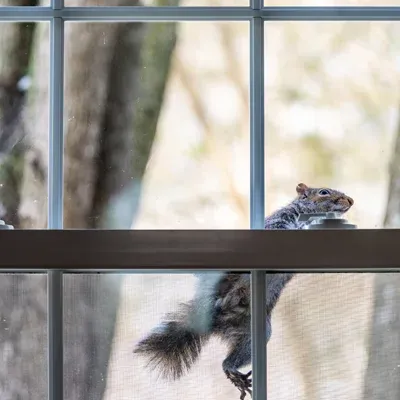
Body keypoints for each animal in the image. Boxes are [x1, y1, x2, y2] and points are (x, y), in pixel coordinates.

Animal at [134, 184, 354, 400]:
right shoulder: (277, 225)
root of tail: (216, 320)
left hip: (252, 334)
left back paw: (234, 373)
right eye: (323, 192)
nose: (350, 200)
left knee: (229, 359)